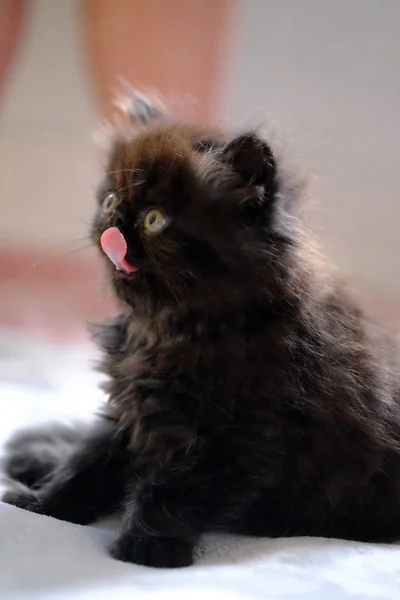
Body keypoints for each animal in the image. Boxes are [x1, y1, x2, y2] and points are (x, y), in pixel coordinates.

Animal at [3, 92, 400, 568]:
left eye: (155, 219)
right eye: (111, 201)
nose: (112, 230)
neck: (165, 327)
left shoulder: (231, 437)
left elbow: (170, 490)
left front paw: (145, 548)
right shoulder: (130, 413)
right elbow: (87, 462)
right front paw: (43, 503)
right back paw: (34, 451)